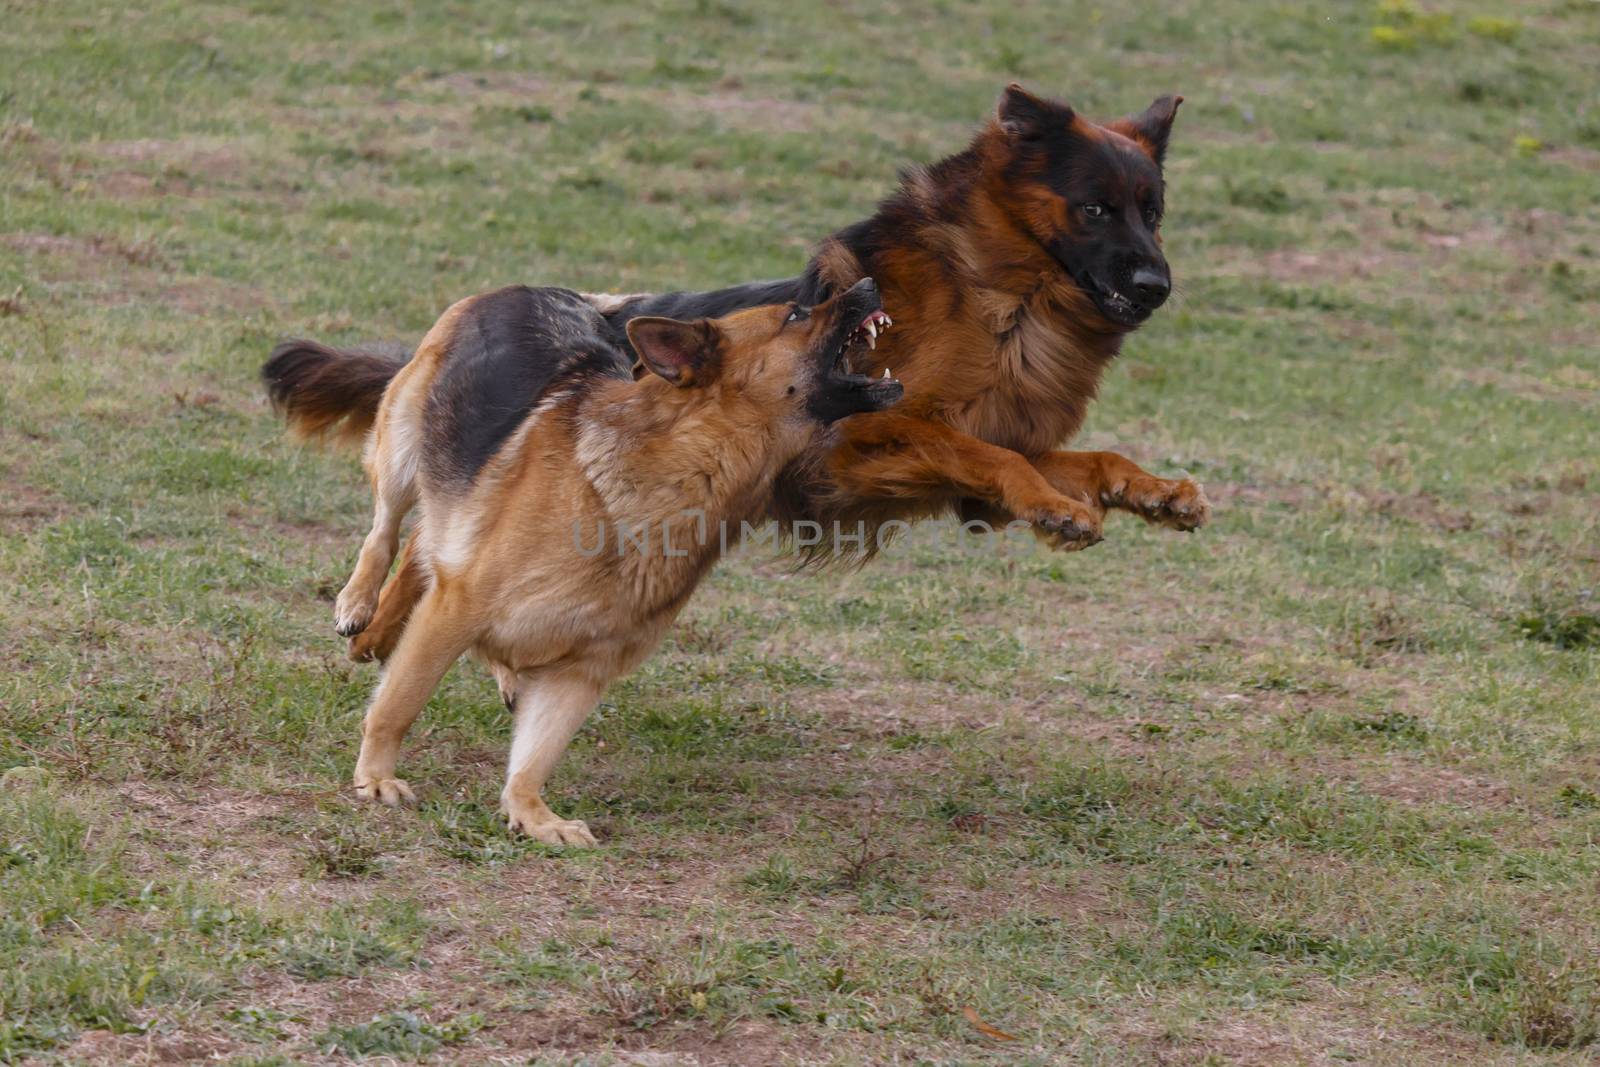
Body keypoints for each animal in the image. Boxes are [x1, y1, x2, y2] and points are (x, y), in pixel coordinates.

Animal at [268, 279, 908, 844]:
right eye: (797, 314)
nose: (870, 283)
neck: (688, 468)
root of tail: (545, 290)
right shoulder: (457, 608)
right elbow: (401, 701)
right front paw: (376, 776)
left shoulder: (582, 670)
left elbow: (536, 754)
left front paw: (531, 813)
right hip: (402, 445)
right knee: (386, 530)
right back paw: (357, 605)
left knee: (427, 547)